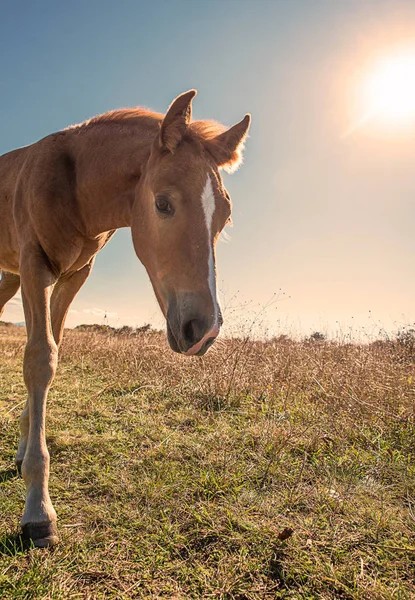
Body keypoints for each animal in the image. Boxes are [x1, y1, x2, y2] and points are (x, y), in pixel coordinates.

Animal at [0, 90, 250, 548]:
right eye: (163, 203)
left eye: (224, 216)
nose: (203, 331)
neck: (73, 181)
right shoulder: (34, 266)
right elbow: (39, 360)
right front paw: (38, 510)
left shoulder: (72, 275)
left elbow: (51, 353)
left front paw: (25, 452)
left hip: (10, 277)